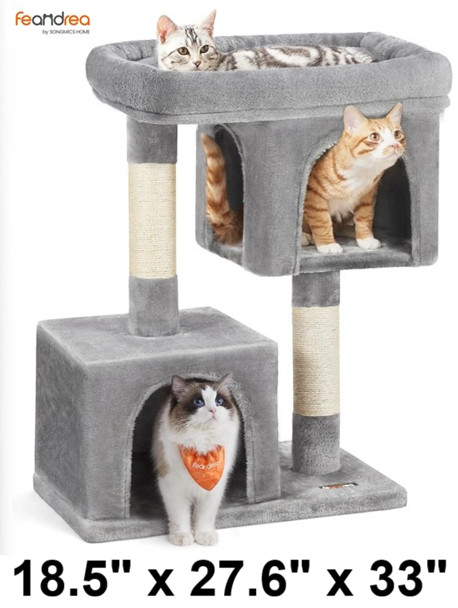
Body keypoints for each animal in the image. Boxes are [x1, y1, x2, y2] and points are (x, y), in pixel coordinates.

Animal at [152, 373, 240, 546]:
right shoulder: (173, 486)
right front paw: (182, 537)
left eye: (219, 401)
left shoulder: (213, 489)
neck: (202, 446)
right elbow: (180, 516)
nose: (213, 410)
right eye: (199, 402)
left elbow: (204, 517)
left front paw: (204, 536)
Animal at [200, 103, 406, 252]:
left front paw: (365, 239)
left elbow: (365, 218)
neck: (361, 173)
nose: (395, 145)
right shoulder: (314, 196)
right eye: (374, 137)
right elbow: (322, 222)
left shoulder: (367, 197)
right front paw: (327, 245)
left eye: (397, 134)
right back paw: (305, 238)